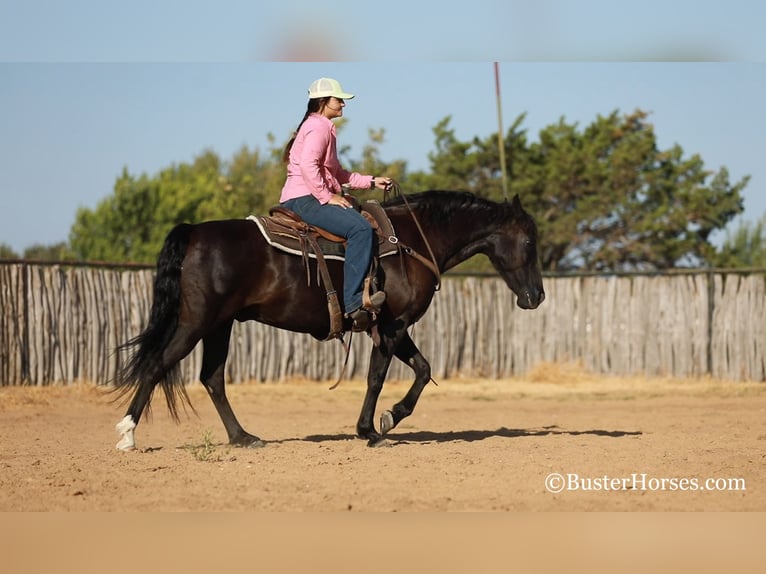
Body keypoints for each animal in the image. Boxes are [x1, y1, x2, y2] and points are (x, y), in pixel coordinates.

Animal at [112, 191, 544, 452]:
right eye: (528, 242)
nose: (537, 297)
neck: (411, 243)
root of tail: (194, 233)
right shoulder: (392, 327)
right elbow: (377, 377)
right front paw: (371, 431)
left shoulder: (395, 327)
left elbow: (423, 369)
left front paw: (391, 417)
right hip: (196, 323)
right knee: (157, 364)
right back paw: (128, 435)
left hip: (220, 325)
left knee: (212, 379)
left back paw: (244, 437)